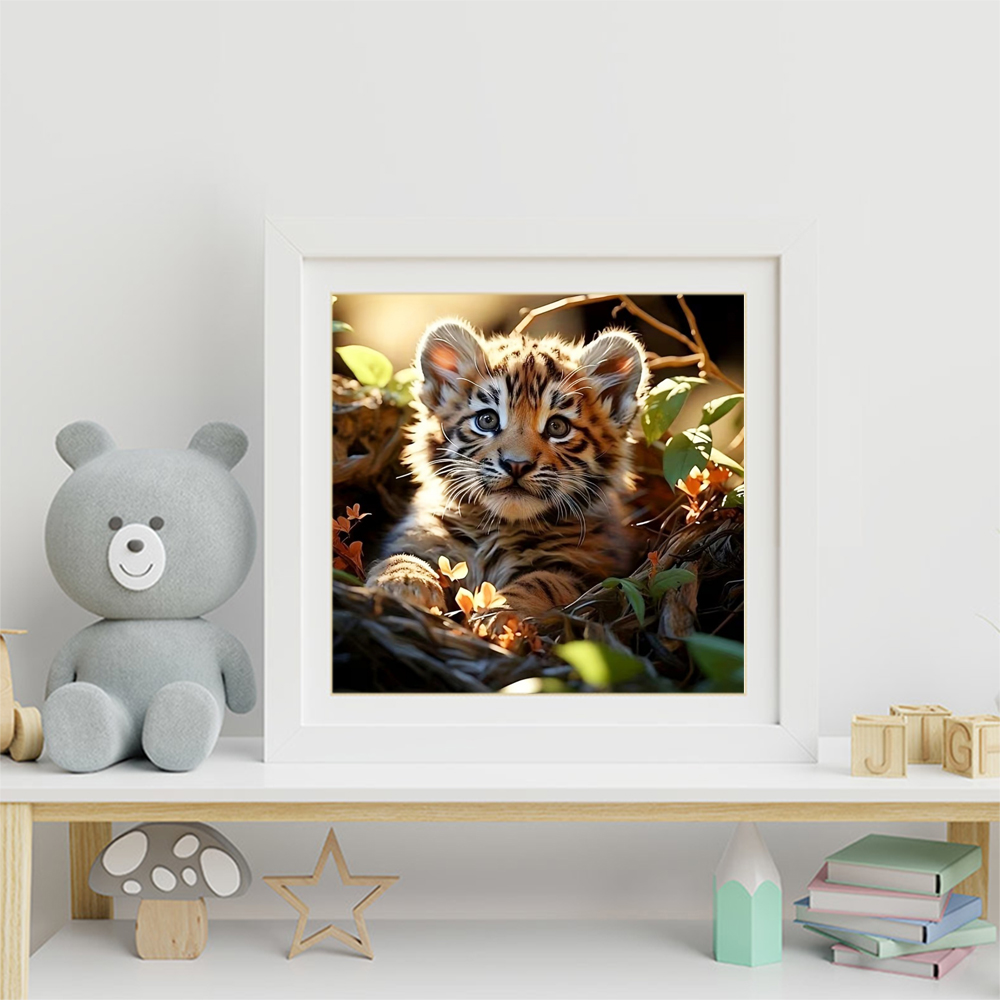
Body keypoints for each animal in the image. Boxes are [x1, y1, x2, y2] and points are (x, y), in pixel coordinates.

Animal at [365, 317, 650, 619]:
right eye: (487, 420)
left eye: (557, 427)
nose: (517, 464)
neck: (498, 528)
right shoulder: (421, 535)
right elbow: (404, 556)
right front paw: (402, 582)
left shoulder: (593, 571)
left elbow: (543, 582)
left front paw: (501, 614)